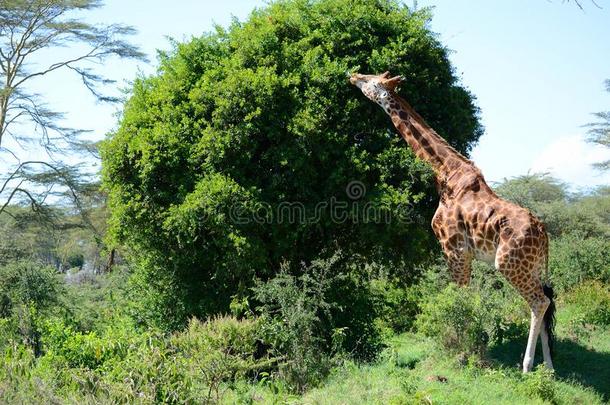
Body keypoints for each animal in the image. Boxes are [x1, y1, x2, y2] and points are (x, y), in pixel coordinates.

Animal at [350, 71, 552, 370]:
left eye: (372, 81)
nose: (353, 76)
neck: (446, 173)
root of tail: (543, 233)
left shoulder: (453, 249)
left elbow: (460, 297)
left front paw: (464, 351)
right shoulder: (461, 253)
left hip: (508, 264)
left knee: (538, 303)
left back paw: (527, 366)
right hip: (533, 267)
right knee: (547, 301)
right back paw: (549, 367)